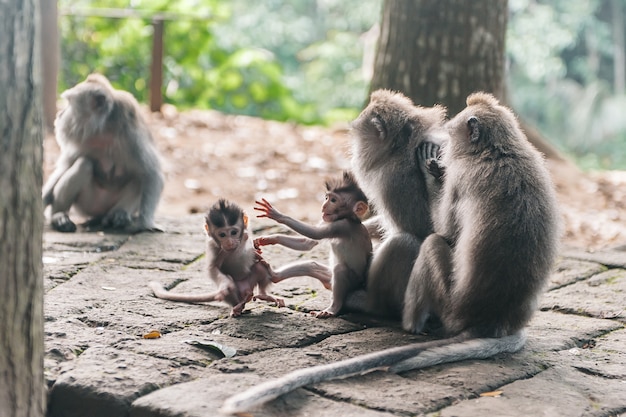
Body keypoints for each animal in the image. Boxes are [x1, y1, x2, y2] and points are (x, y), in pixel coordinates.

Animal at [42, 73, 163, 232]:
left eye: (69, 103)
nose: (59, 114)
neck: (104, 130)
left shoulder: (132, 136)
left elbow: (152, 173)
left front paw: (144, 224)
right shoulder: (81, 139)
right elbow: (65, 166)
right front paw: (44, 196)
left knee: (138, 177)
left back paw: (118, 215)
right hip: (88, 204)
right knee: (83, 164)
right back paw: (58, 216)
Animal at [147, 198, 282, 316]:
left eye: (233, 232)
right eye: (222, 235)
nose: (229, 242)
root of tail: (247, 290)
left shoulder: (246, 233)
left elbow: (254, 252)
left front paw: (257, 250)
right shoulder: (212, 246)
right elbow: (213, 268)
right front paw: (226, 285)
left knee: (260, 267)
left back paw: (263, 295)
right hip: (239, 291)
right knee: (234, 289)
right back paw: (238, 306)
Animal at [254, 171, 370, 316]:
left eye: (333, 200)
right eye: (326, 198)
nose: (324, 205)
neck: (348, 218)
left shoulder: (341, 226)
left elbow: (315, 233)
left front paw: (278, 215)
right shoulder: (326, 221)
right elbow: (308, 243)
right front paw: (269, 239)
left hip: (354, 283)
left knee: (340, 269)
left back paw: (333, 308)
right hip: (328, 276)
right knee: (311, 266)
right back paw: (272, 277)